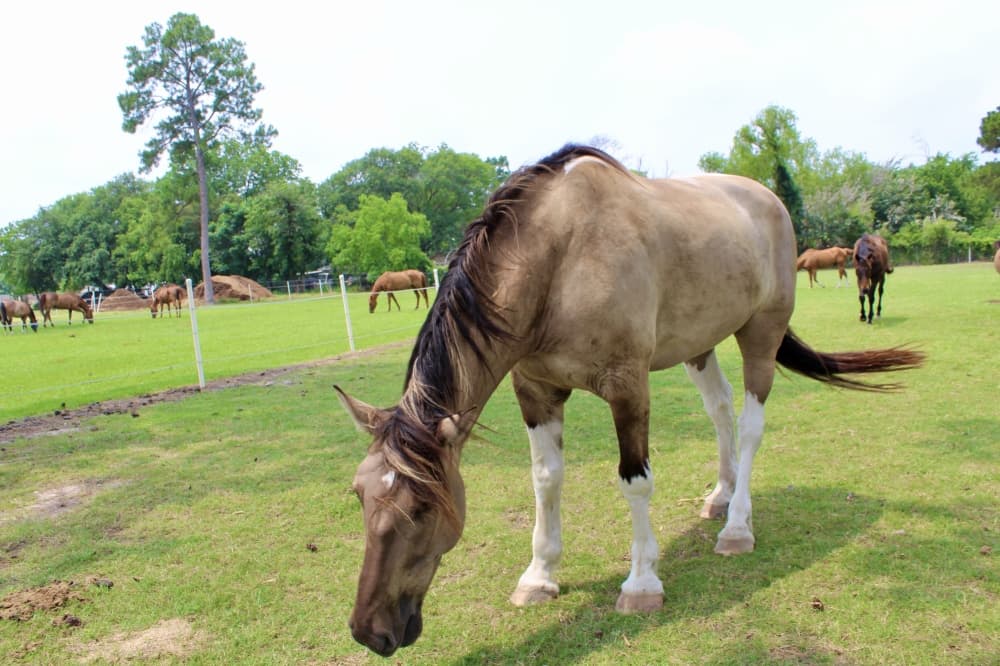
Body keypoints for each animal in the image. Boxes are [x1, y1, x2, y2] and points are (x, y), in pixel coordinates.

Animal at [335, 145, 924, 657]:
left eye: (421, 507)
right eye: (360, 494)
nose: (369, 630)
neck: (560, 260)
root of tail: (767, 199)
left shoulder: (627, 387)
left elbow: (634, 481)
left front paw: (642, 583)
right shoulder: (536, 392)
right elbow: (545, 480)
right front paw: (539, 576)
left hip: (760, 334)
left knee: (750, 423)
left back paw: (737, 526)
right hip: (699, 346)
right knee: (720, 410)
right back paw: (720, 495)